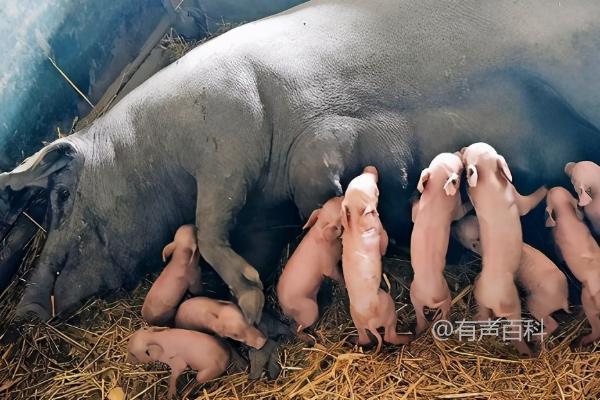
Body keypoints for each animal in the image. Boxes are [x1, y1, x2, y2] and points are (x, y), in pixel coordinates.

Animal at [1, 0, 600, 324]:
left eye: (60, 196)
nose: (25, 311)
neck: (154, 146)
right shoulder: (263, 203)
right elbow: (251, 241)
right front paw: (244, 299)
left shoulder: (227, 140)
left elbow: (209, 222)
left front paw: (245, 297)